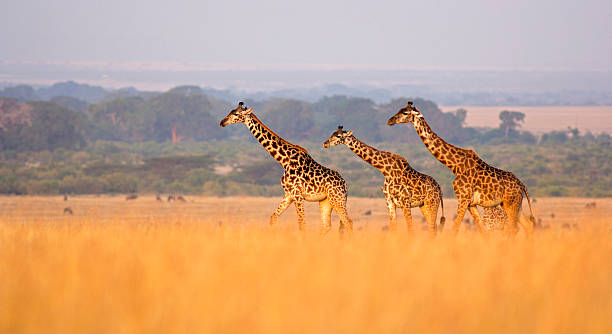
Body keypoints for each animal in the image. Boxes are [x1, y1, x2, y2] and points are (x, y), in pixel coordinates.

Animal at [220, 102, 354, 235]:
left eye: (236, 114)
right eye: (230, 111)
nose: (222, 122)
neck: (284, 160)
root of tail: (345, 184)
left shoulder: (297, 194)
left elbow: (302, 224)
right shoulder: (288, 194)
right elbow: (273, 217)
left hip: (337, 199)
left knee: (348, 222)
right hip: (325, 201)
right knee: (327, 225)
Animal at [388, 103, 536, 236]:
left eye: (405, 113)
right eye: (399, 109)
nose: (390, 120)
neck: (455, 165)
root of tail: (521, 184)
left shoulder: (463, 198)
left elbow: (455, 229)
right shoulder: (471, 203)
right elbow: (482, 230)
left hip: (510, 203)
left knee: (514, 228)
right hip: (512, 204)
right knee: (528, 225)